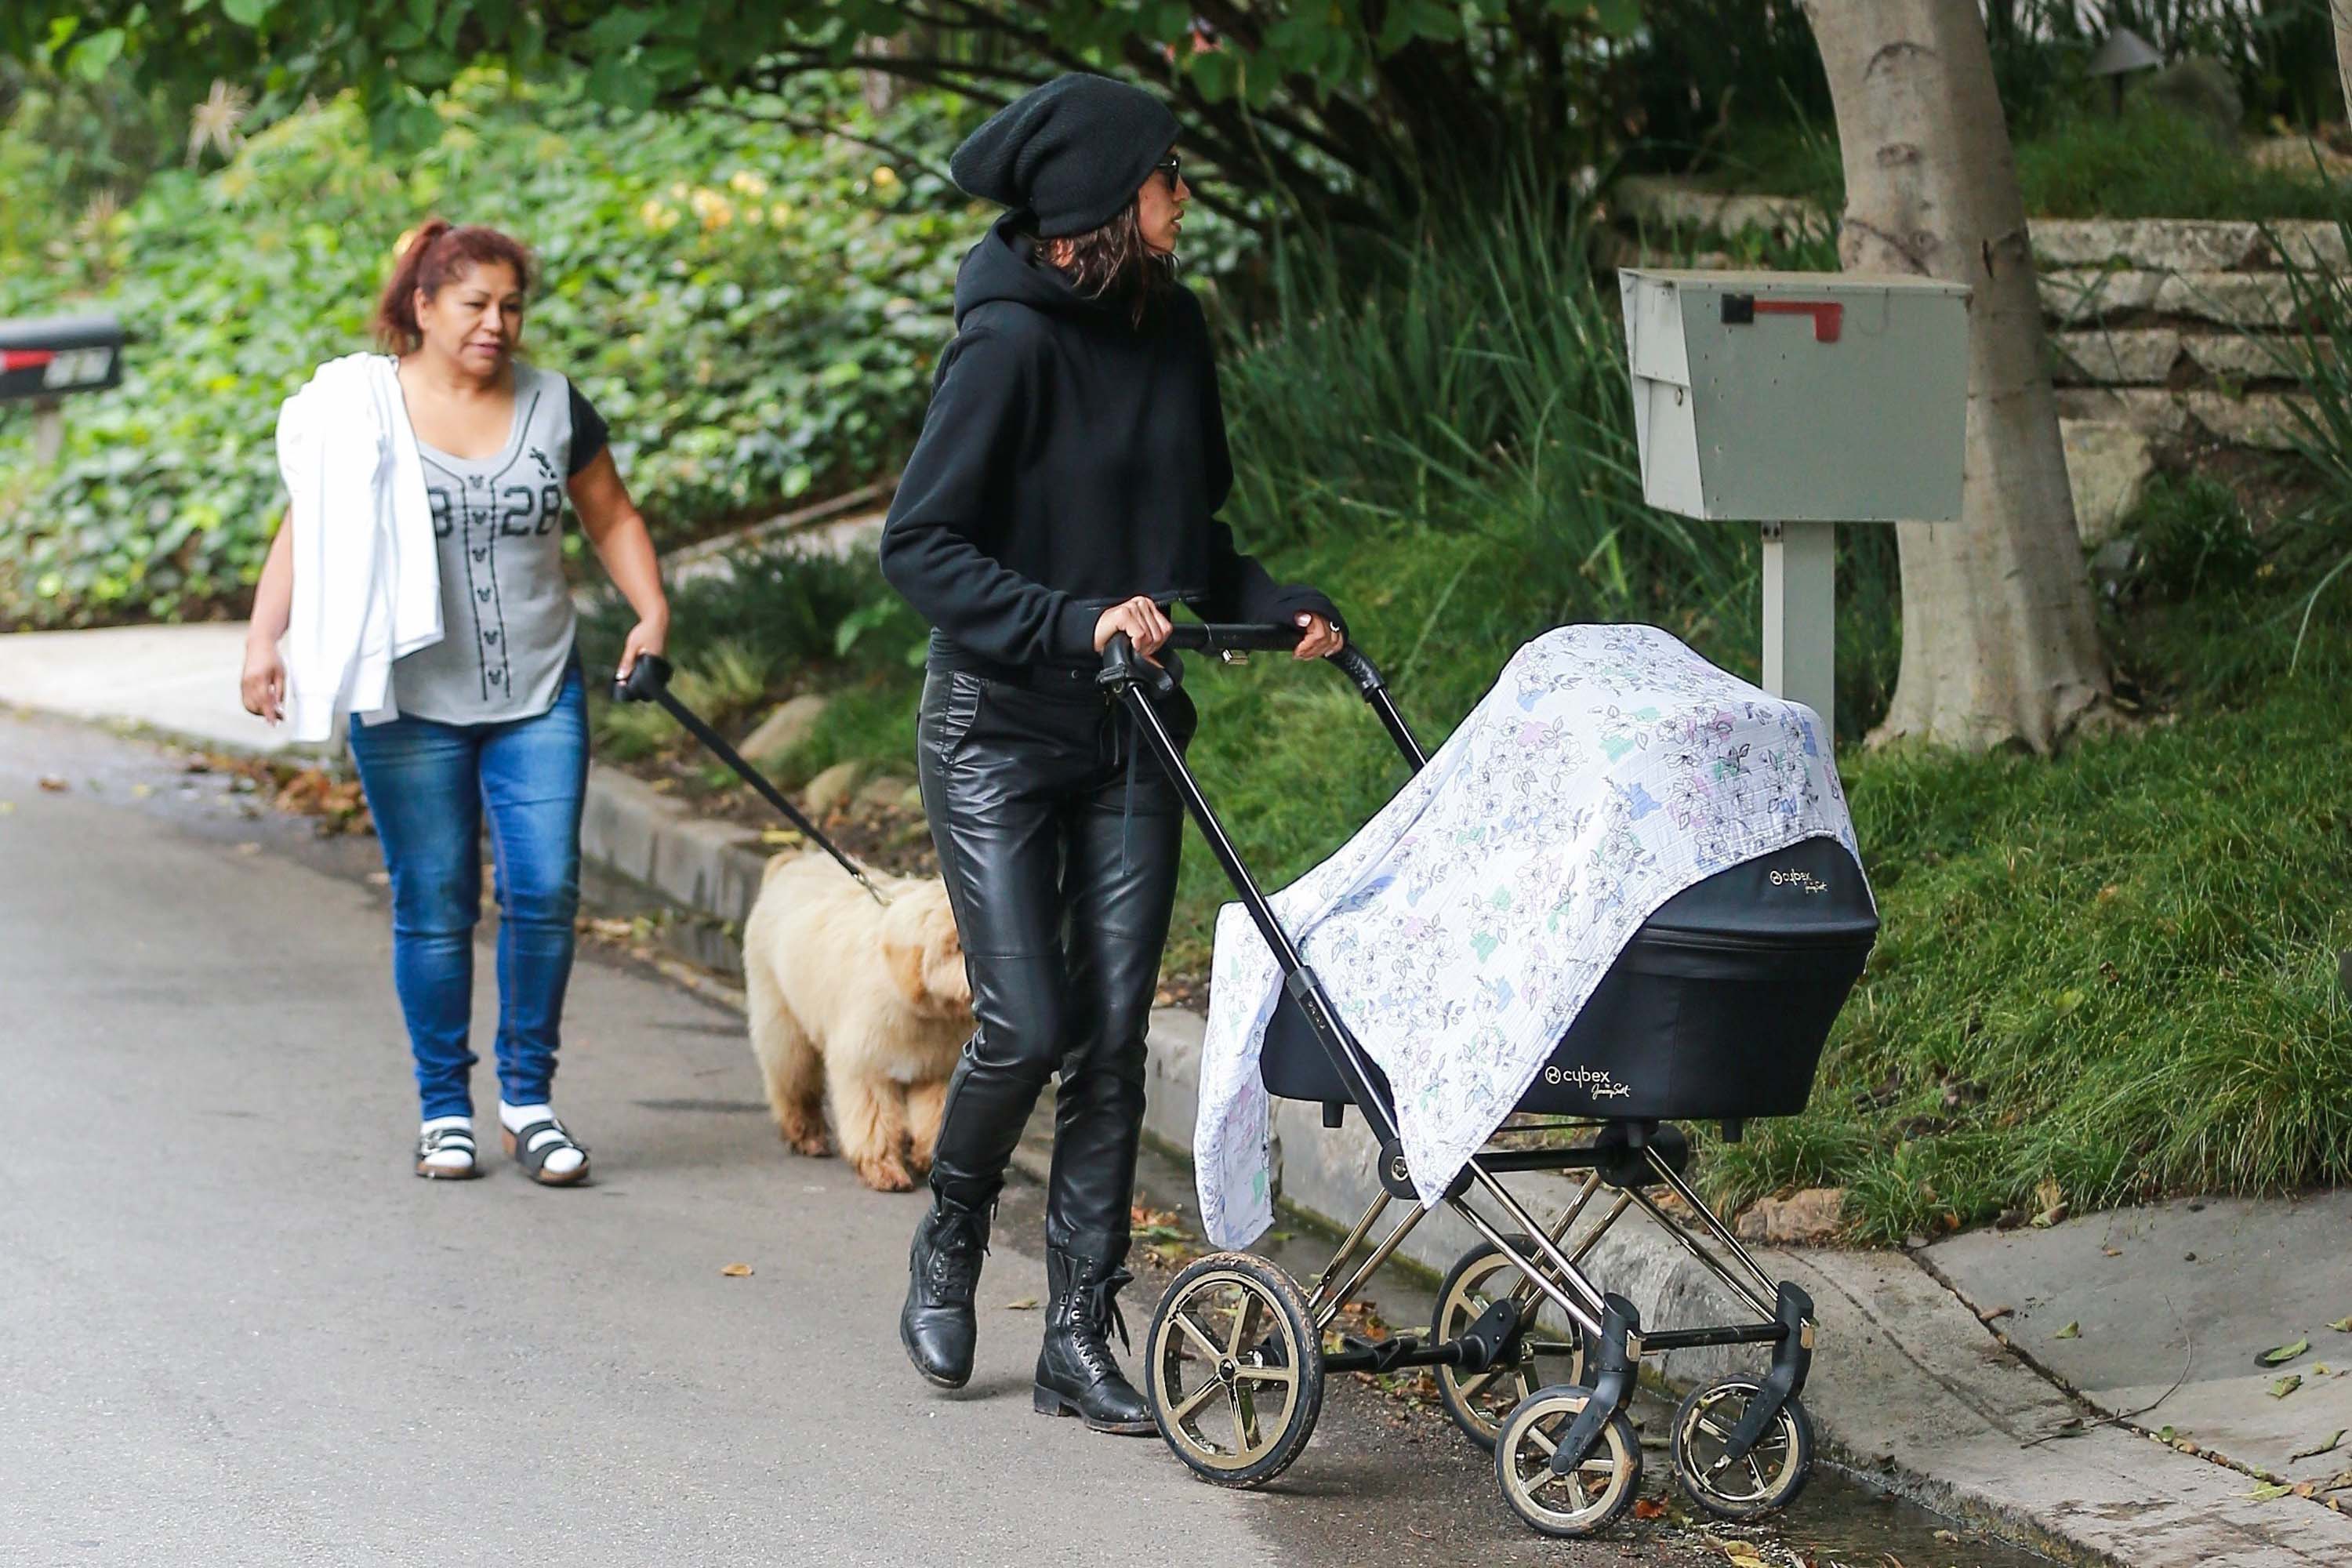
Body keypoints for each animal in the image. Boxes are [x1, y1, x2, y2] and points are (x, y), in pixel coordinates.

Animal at [739, 860, 969, 1189]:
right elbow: (873, 1118)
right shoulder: (865, 1066)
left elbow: (937, 1115)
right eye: (957, 945)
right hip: (783, 1025)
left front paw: (926, 1155)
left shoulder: (937, 1070)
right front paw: (883, 1167)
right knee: (793, 1083)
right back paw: (806, 1134)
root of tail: (794, 862)